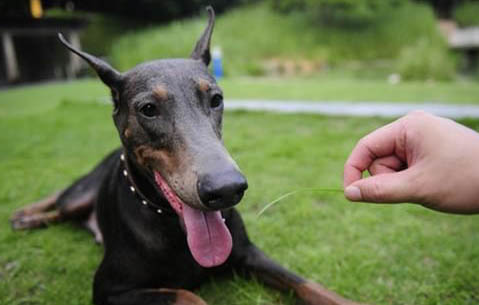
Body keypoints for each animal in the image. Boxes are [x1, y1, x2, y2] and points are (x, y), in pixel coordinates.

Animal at [10, 8, 364, 304]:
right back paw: (26, 216)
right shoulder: (111, 289)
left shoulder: (249, 253)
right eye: (148, 109)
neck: (170, 222)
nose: (226, 189)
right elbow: (188, 295)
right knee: (63, 200)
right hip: (82, 195)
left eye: (216, 99)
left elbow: (307, 284)